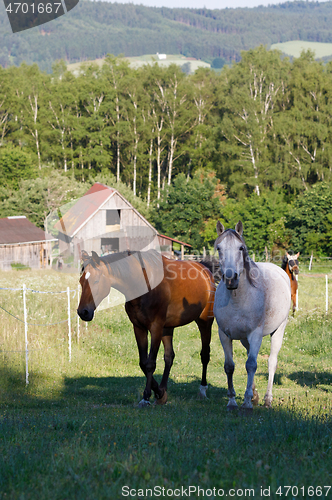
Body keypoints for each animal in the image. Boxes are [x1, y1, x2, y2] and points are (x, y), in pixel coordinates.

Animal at [77, 249, 215, 406]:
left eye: (96, 281)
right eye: (81, 281)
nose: (83, 312)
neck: (143, 285)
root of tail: (204, 270)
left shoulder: (155, 328)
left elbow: (150, 364)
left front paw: (146, 397)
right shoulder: (139, 328)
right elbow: (143, 363)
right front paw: (159, 392)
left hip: (204, 322)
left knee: (205, 355)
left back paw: (202, 389)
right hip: (167, 329)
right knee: (169, 357)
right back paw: (163, 390)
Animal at [214, 222, 290, 410]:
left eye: (241, 248)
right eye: (219, 248)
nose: (231, 279)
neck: (238, 299)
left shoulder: (256, 334)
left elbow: (251, 365)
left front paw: (247, 403)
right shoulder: (224, 335)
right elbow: (229, 366)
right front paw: (232, 401)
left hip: (278, 330)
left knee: (271, 362)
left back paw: (267, 399)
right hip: (244, 339)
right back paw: (255, 396)